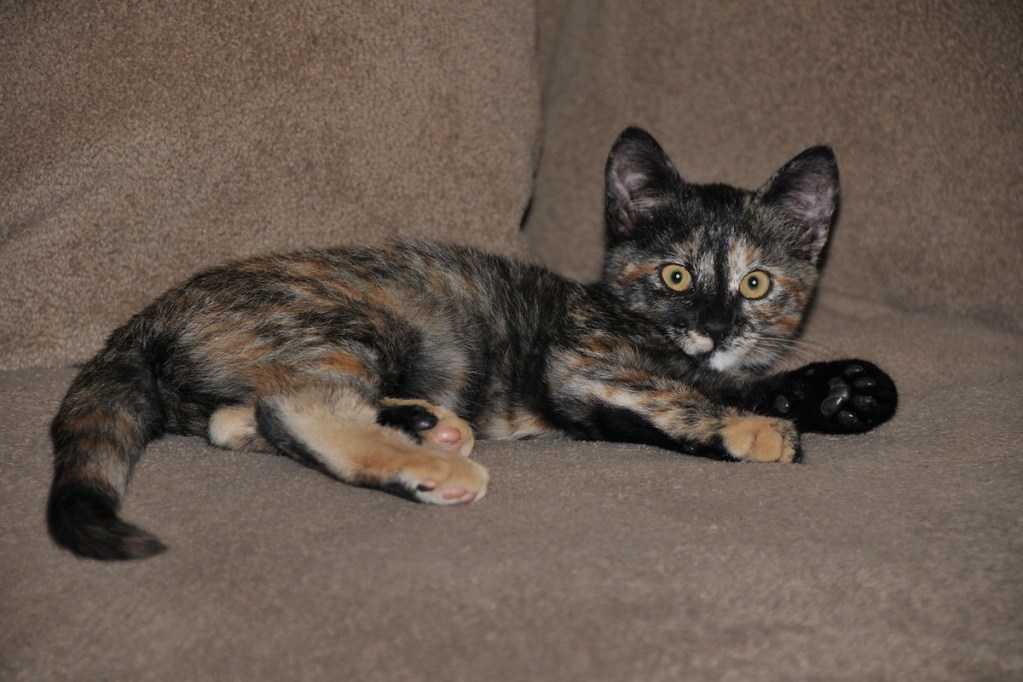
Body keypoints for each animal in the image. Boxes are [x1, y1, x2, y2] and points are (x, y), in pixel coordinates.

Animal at [46, 126, 896, 560]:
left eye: (755, 284)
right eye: (677, 276)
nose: (715, 330)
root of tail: (151, 313)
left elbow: (726, 381)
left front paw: (842, 387)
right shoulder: (583, 364)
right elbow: (671, 395)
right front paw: (754, 429)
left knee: (236, 420)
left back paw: (428, 425)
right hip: (345, 324)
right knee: (299, 410)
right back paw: (431, 463)